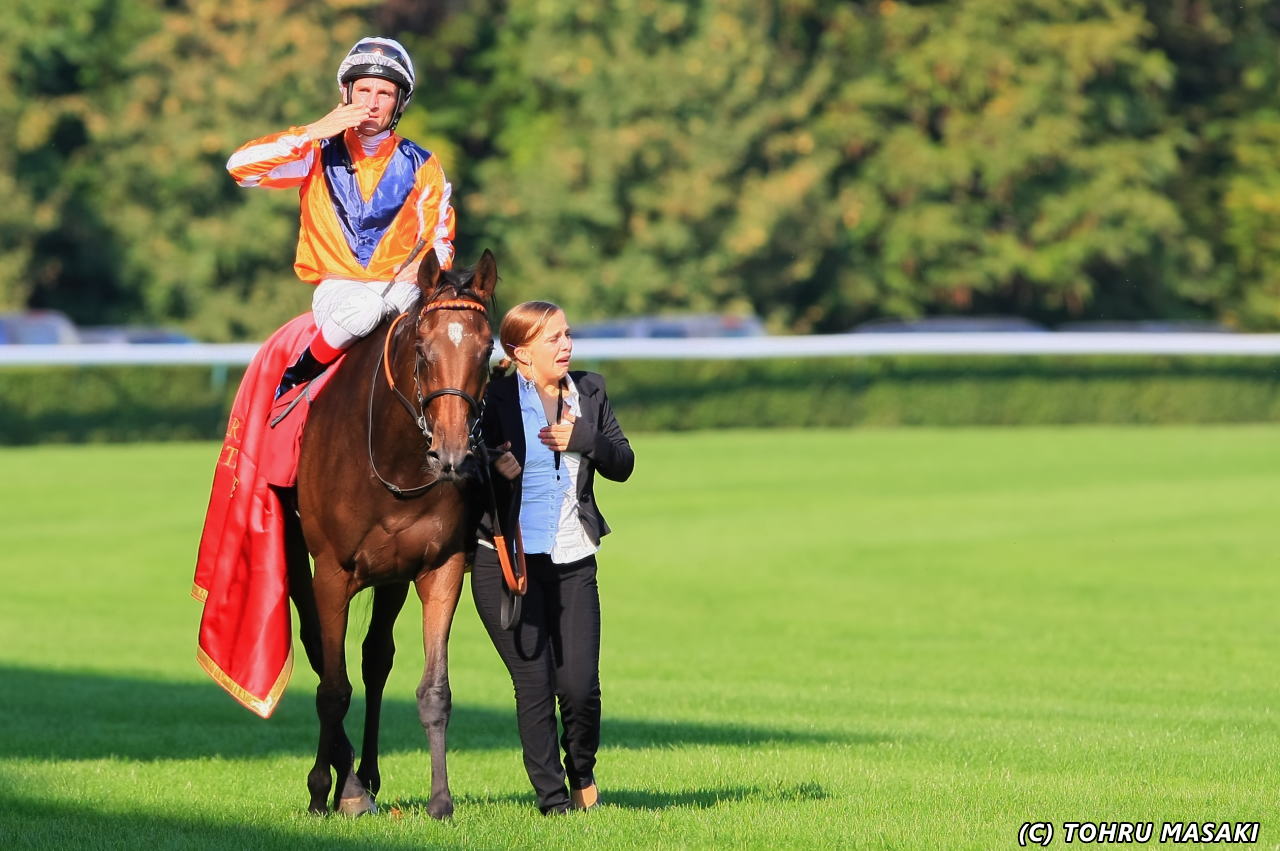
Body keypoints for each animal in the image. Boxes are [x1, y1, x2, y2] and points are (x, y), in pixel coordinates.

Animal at [279, 248, 498, 818]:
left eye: (488, 351)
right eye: (422, 351)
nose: (452, 454)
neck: (394, 461)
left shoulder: (440, 567)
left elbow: (434, 689)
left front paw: (440, 800)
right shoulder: (332, 570)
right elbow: (332, 688)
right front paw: (326, 790)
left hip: (393, 576)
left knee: (376, 657)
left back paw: (367, 777)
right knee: (321, 653)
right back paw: (347, 783)